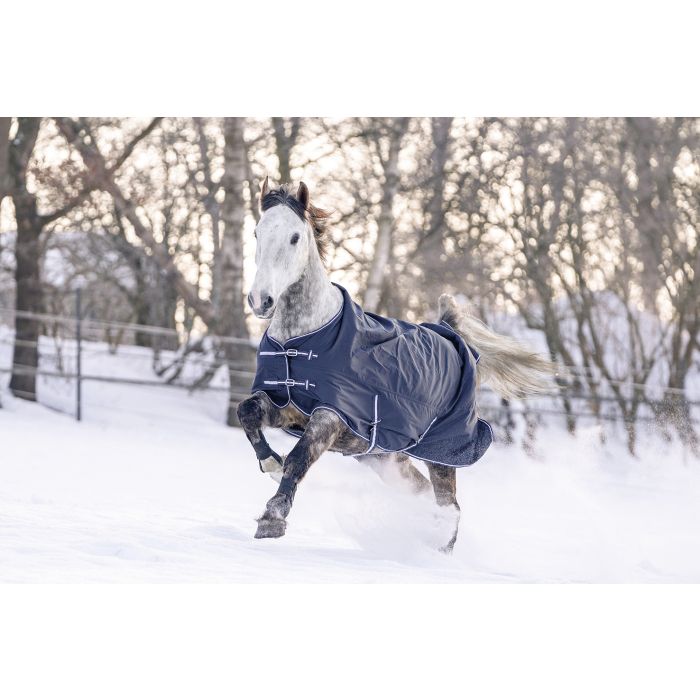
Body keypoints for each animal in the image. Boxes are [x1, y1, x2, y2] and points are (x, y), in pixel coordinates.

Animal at [237, 178, 554, 552]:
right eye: (256, 232)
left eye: (295, 237)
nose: (261, 300)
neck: (302, 341)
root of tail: (451, 333)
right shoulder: (288, 406)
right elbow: (247, 412)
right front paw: (271, 463)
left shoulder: (332, 415)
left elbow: (300, 457)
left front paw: (272, 518)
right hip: (387, 458)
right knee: (426, 496)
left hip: (441, 455)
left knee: (450, 506)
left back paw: (437, 550)